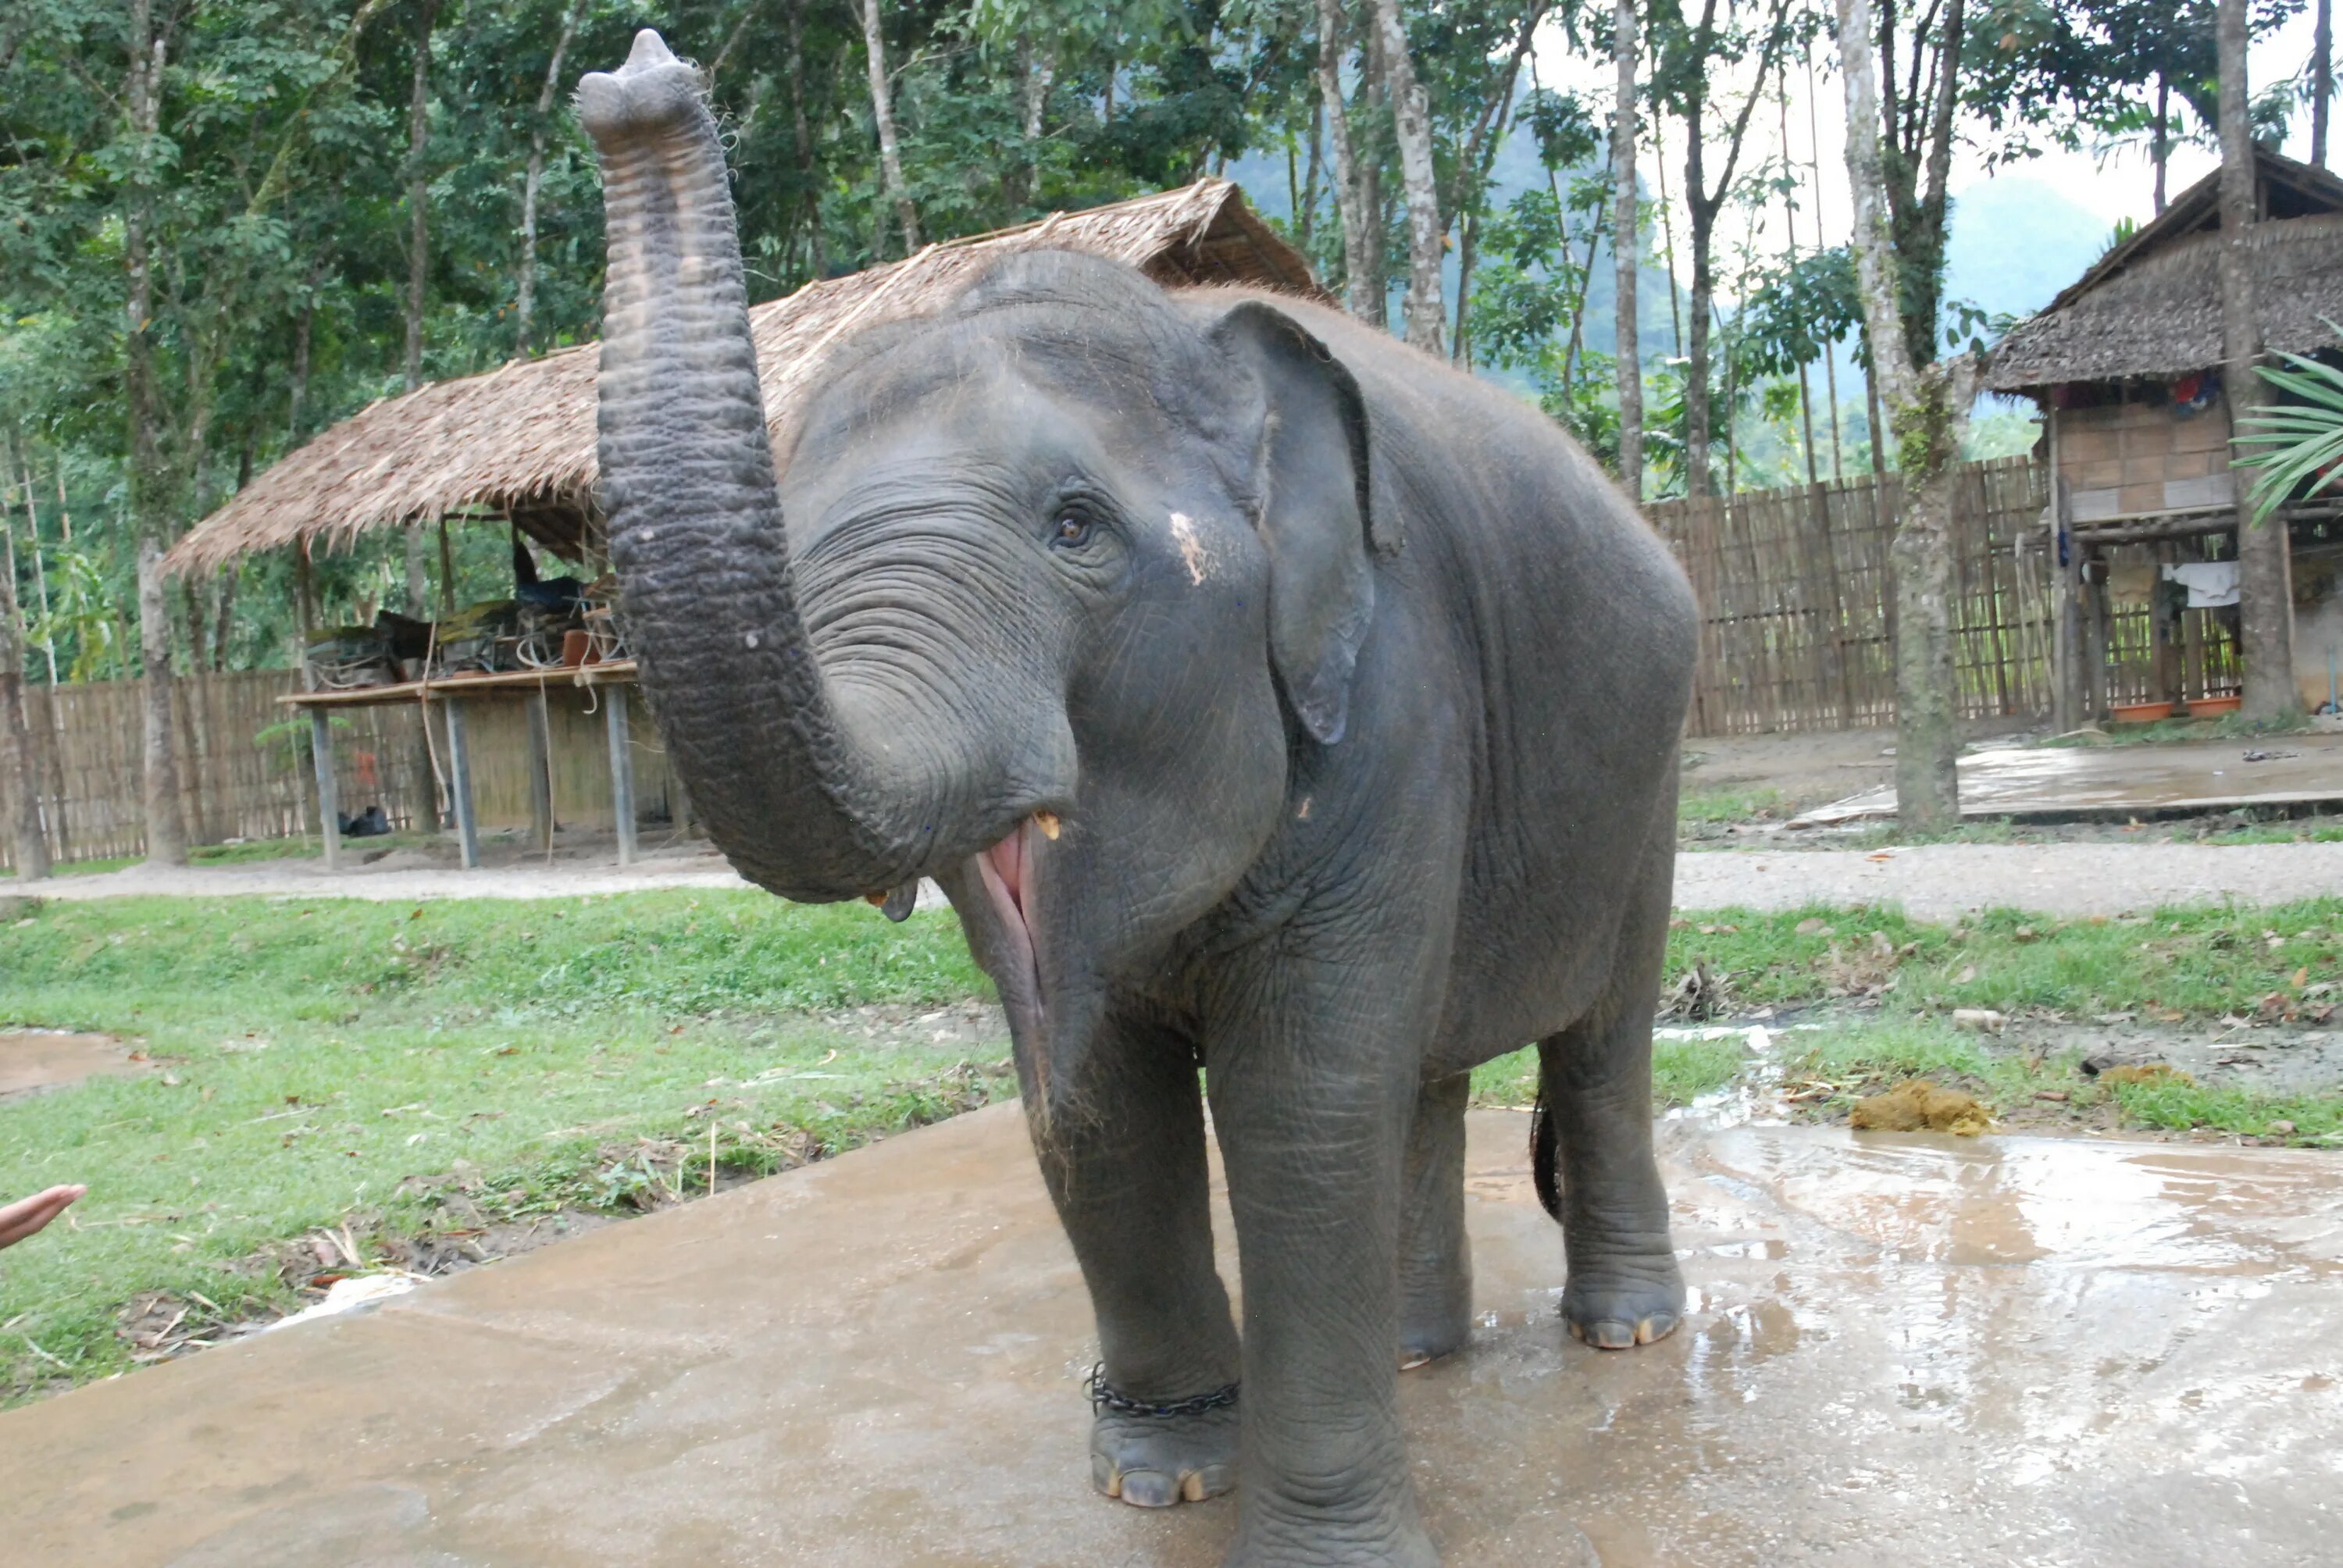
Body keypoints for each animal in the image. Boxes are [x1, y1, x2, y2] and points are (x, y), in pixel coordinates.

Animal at [576, 27, 1696, 1565]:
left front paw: (1317, 1547)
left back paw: (1627, 1336)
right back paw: (1419, 1355)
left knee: (1600, 1037)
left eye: (1076, 527)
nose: (633, 80)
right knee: (1422, 1071)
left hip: (1654, 769)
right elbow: (1108, 1095)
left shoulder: (1392, 702)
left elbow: (1300, 1106)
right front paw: (1163, 1480)